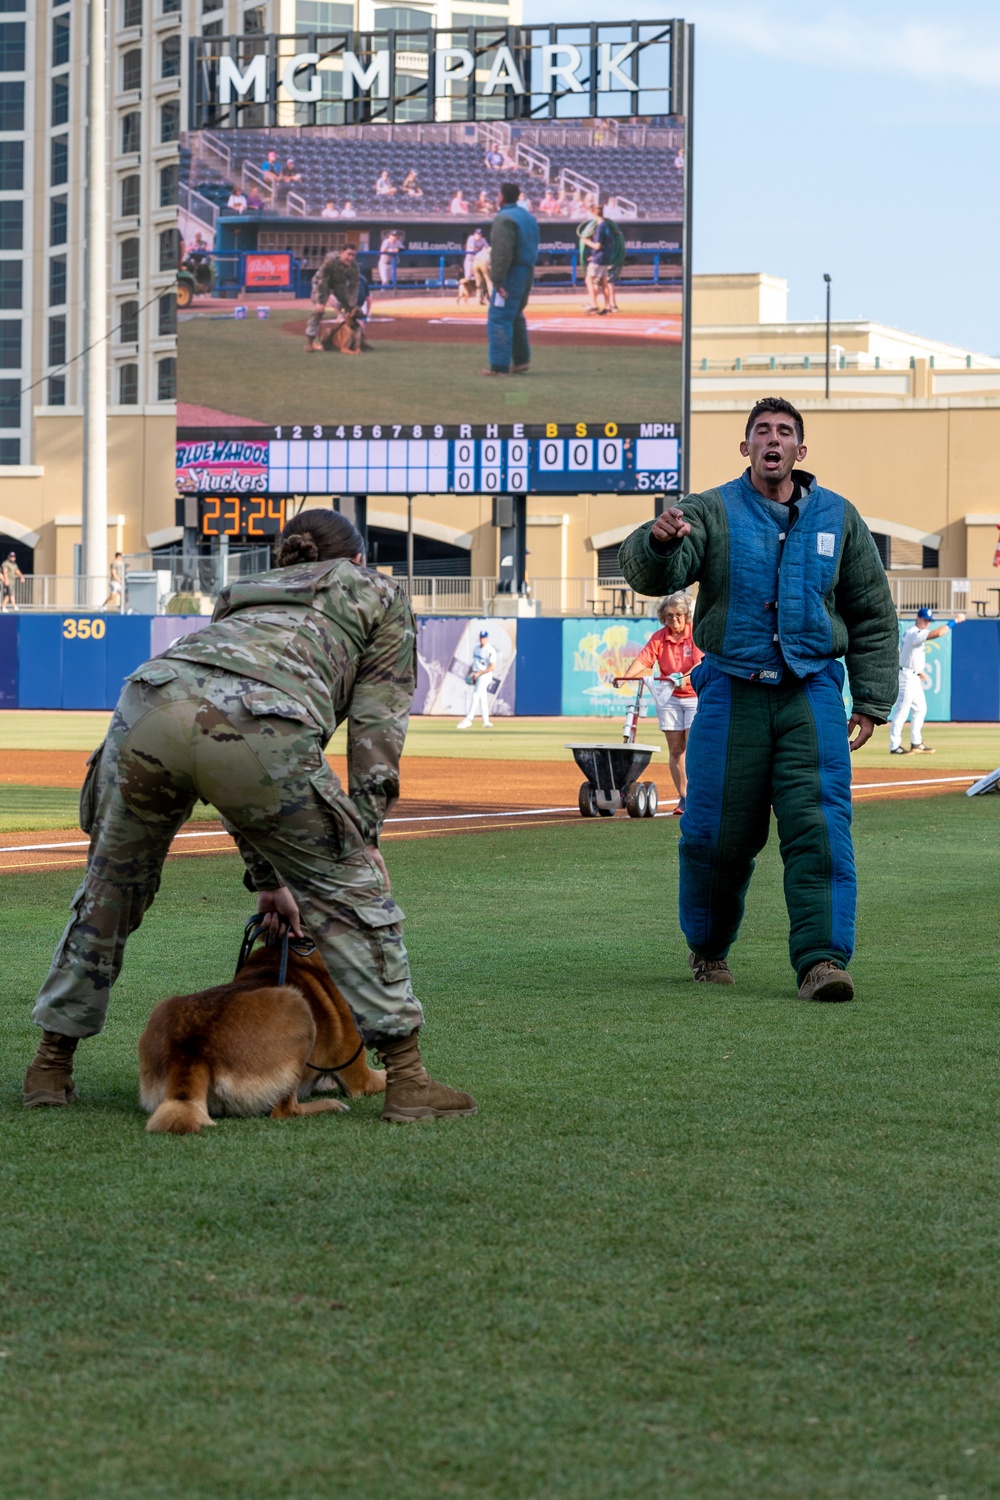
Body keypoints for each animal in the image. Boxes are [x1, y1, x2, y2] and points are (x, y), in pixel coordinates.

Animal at [140, 924, 386, 1134]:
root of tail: (192, 1053)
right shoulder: (360, 1078)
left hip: (163, 1005)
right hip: (299, 1008)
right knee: (285, 1110)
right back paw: (330, 1105)